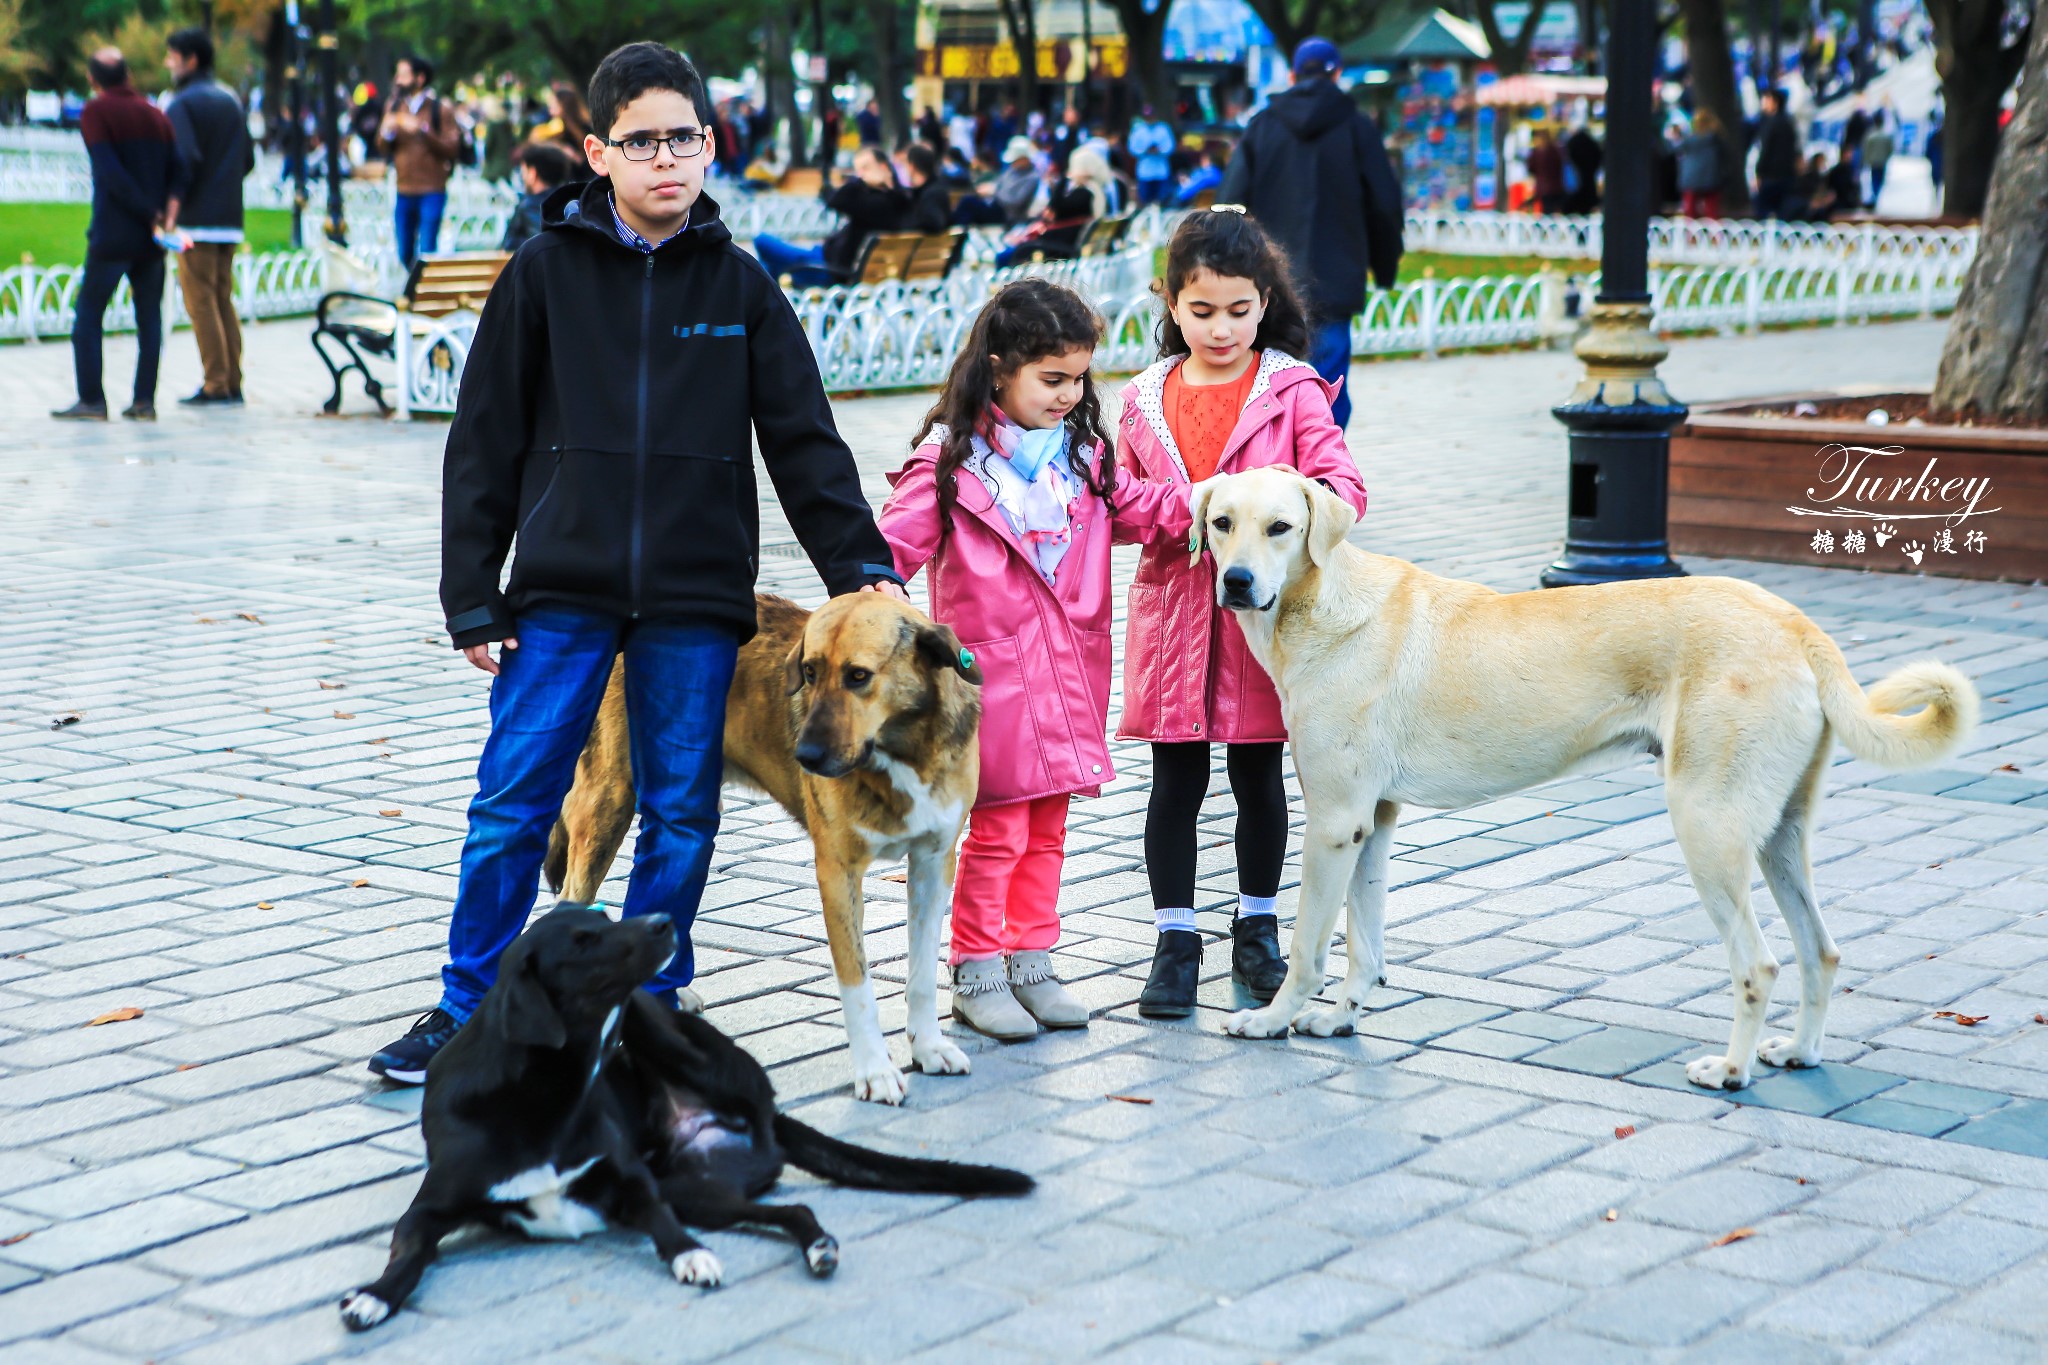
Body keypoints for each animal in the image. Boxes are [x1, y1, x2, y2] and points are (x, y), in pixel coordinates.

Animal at [344, 908, 1040, 1334]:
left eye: (606, 919)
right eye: (583, 942)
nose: (662, 919)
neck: (550, 1093)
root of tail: (773, 1115)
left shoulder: (636, 1184)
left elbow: (661, 1225)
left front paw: (690, 1257)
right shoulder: (427, 1209)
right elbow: (407, 1256)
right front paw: (374, 1296)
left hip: (692, 1083)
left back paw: (817, 1246)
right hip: (701, 1190)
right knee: (791, 1210)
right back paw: (815, 1247)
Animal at [544, 593, 983, 1105]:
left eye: (858, 676)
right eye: (809, 671)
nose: (805, 757)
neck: (902, 750)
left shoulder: (935, 864)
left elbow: (922, 975)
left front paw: (929, 1046)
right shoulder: (837, 873)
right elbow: (858, 988)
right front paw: (875, 1070)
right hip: (609, 802)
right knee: (566, 901)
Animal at [1196, 470, 1982, 1088]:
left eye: (1281, 528)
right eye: (1221, 523)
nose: (1235, 582)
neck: (1325, 606)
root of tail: (1797, 625)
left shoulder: (1334, 822)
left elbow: (1308, 946)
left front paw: (1271, 1020)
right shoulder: (1373, 820)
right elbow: (1366, 941)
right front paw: (1342, 1019)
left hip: (1708, 828)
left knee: (1758, 965)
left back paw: (1731, 1069)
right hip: (1778, 837)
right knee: (1821, 950)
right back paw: (1800, 1051)